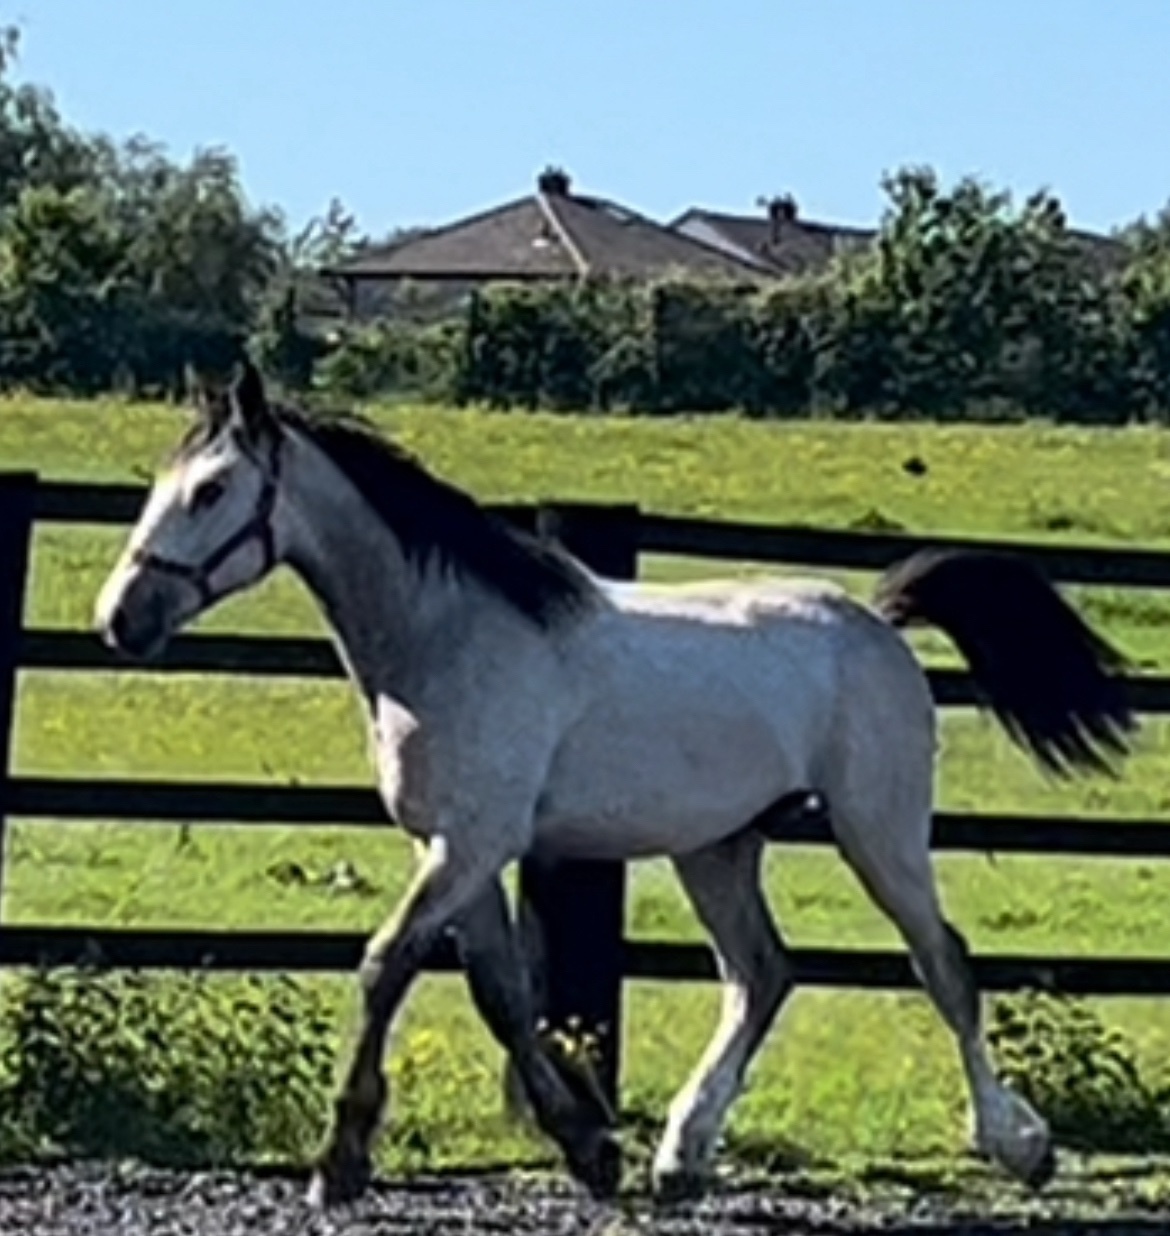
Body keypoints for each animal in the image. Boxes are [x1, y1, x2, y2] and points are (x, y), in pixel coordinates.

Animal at [93, 361, 1135, 1210]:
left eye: (212, 489)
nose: (120, 619)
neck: (447, 641)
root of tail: (875, 620)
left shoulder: (470, 844)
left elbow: (387, 965)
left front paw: (340, 1161)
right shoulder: (459, 849)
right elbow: (501, 996)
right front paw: (590, 1149)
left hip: (878, 830)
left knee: (943, 965)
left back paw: (1017, 1146)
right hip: (718, 847)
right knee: (761, 975)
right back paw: (681, 1155)